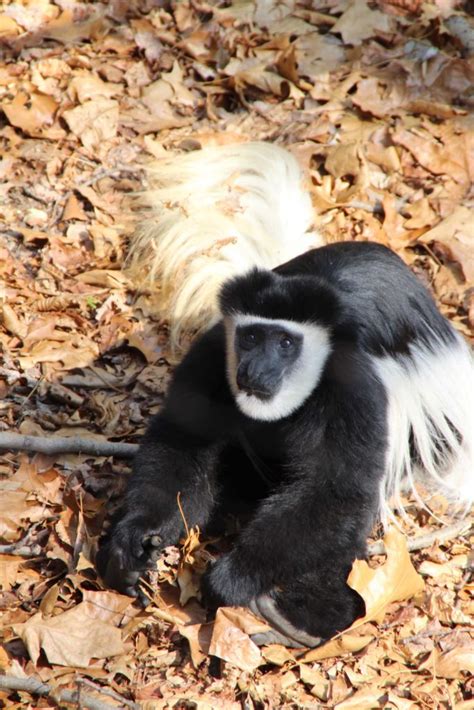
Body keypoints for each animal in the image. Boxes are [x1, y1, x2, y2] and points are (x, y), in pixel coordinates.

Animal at [97, 142, 474, 648]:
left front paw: (233, 578)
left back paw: (302, 614)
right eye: (253, 338)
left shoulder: (352, 388)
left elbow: (335, 491)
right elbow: (183, 442)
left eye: (286, 344)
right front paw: (135, 540)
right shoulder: (214, 352)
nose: (255, 370)